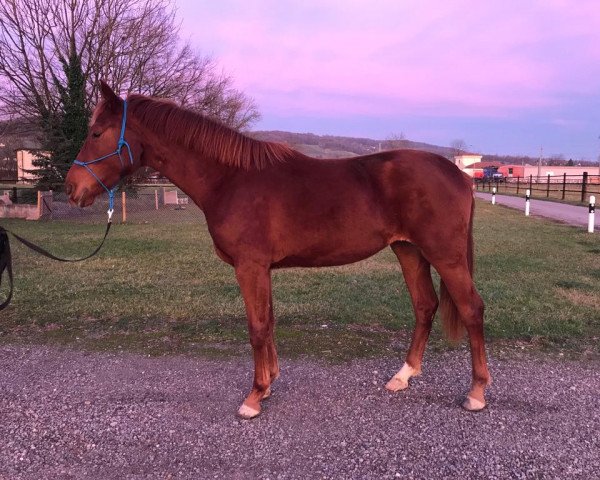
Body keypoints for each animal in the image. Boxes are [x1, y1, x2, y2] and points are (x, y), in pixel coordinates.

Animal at [64, 81, 492, 416]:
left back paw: (475, 393)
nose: (72, 188)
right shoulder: (261, 269)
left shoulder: (249, 266)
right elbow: (267, 322)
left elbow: (256, 327)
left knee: (471, 308)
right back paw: (403, 376)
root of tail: (458, 174)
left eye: (97, 133)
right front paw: (268, 384)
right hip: (408, 251)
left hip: (445, 255)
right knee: (424, 306)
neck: (229, 179)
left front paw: (253, 398)